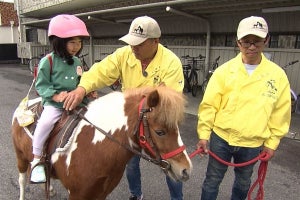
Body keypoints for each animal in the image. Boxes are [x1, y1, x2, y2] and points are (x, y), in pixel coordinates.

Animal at [11, 86, 192, 200]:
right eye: (160, 132)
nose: (185, 170)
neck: (94, 148)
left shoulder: (102, 192)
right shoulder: (77, 195)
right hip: (20, 157)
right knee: (22, 180)